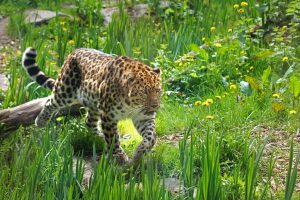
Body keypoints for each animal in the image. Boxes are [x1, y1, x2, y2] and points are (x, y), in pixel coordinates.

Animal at [21, 47, 162, 166]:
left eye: (158, 90)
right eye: (144, 92)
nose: (155, 105)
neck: (131, 105)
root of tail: (73, 51)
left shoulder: (143, 117)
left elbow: (150, 136)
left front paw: (139, 153)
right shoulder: (108, 115)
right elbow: (113, 139)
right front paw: (120, 157)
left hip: (93, 103)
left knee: (88, 121)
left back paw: (100, 136)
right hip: (66, 91)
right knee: (50, 101)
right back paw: (40, 121)